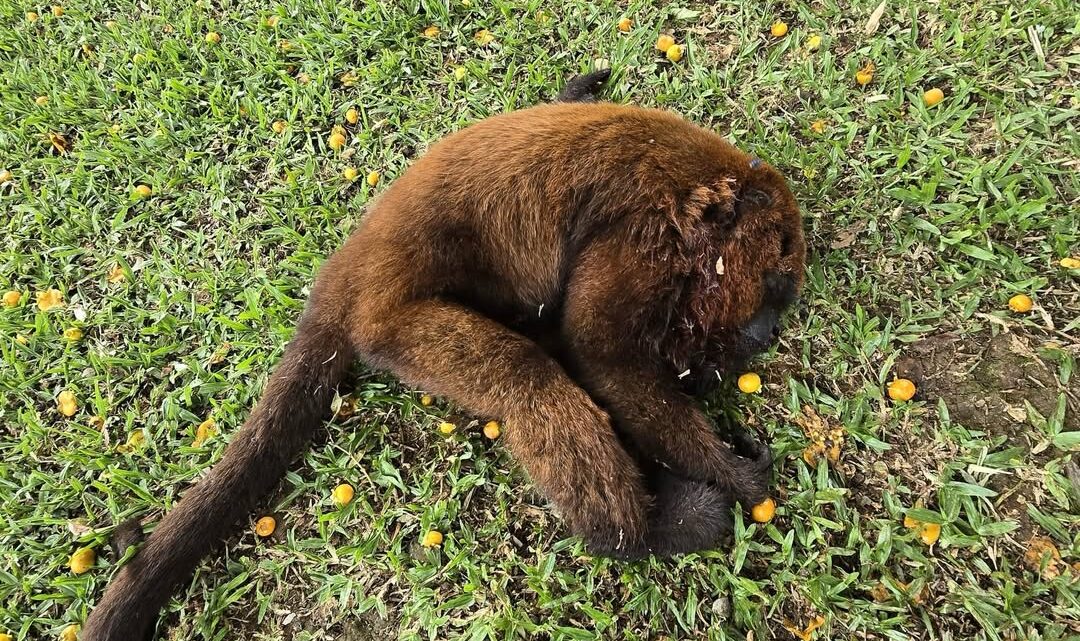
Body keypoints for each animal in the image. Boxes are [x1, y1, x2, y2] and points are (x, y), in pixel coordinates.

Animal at [81, 70, 806, 640]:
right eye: (775, 283)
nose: (768, 333)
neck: (704, 190)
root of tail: (347, 271)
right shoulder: (644, 229)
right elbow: (603, 356)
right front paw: (735, 473)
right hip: (397, 325)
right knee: (527, 379)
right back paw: (646, 529)